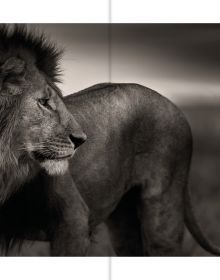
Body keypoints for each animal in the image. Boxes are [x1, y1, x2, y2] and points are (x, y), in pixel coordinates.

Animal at [0, 25, 220, 256]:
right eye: (43, 102)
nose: (81, 140)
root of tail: (175, 106)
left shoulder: (73, 220)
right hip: (124, 220)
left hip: (163, 211)